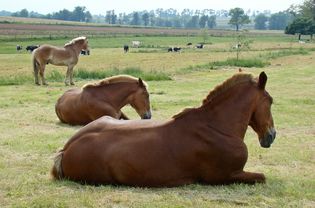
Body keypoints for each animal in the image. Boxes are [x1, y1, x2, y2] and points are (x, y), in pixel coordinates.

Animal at [51, 72, 276, 187]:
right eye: (271, 101)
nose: (272, 135)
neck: (215, 126)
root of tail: (65, 150)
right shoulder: (224, 176)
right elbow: (262, 177)